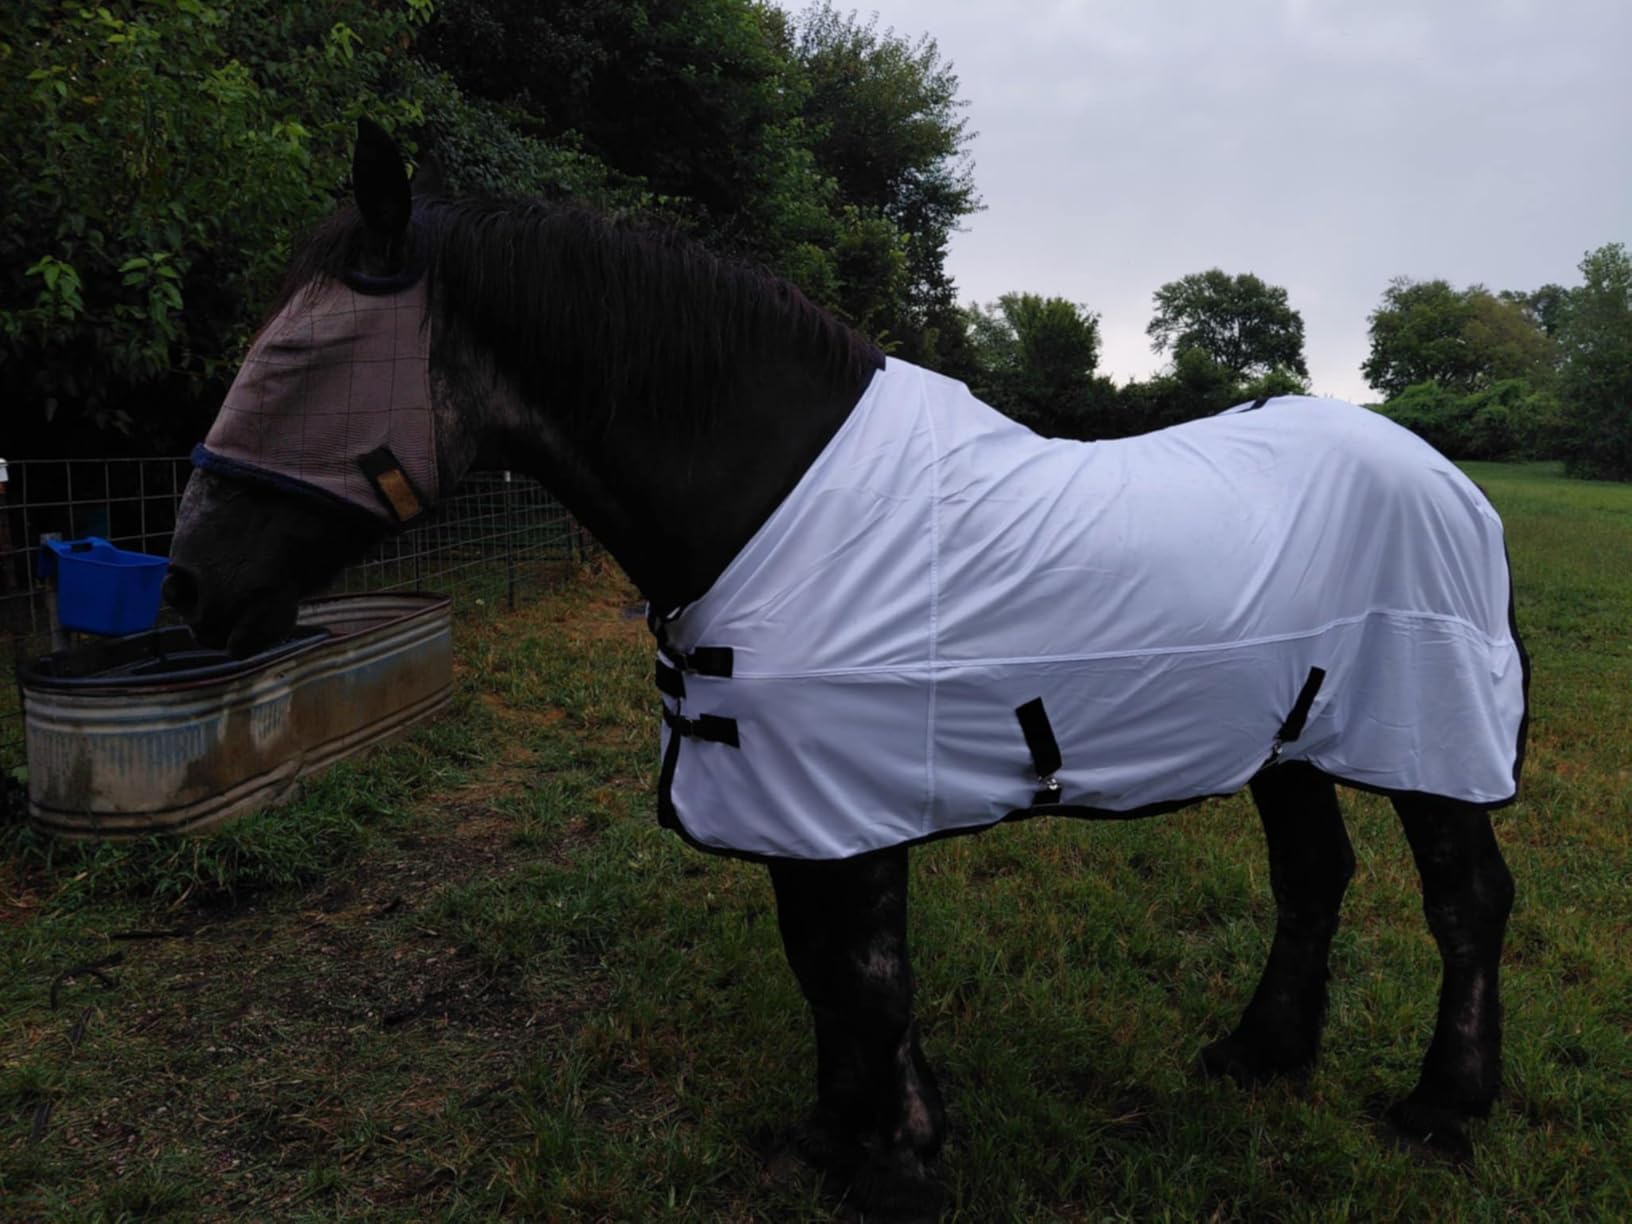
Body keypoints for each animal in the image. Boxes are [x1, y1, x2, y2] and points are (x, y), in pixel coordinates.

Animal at [167, 120, 1524, 1217]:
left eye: (292, 362)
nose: (190, 594)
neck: (767, 497)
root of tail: (1445, 475)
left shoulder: (849, 793)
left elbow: (863, 975)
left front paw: (900, 1163)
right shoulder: (791, 795)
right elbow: (817, 965)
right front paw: (839, 1135)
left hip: (1427, 740)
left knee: (1467, 901)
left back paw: (1444, 1107)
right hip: (1288, 738)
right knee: (1314, 878)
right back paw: (1261, 1053)